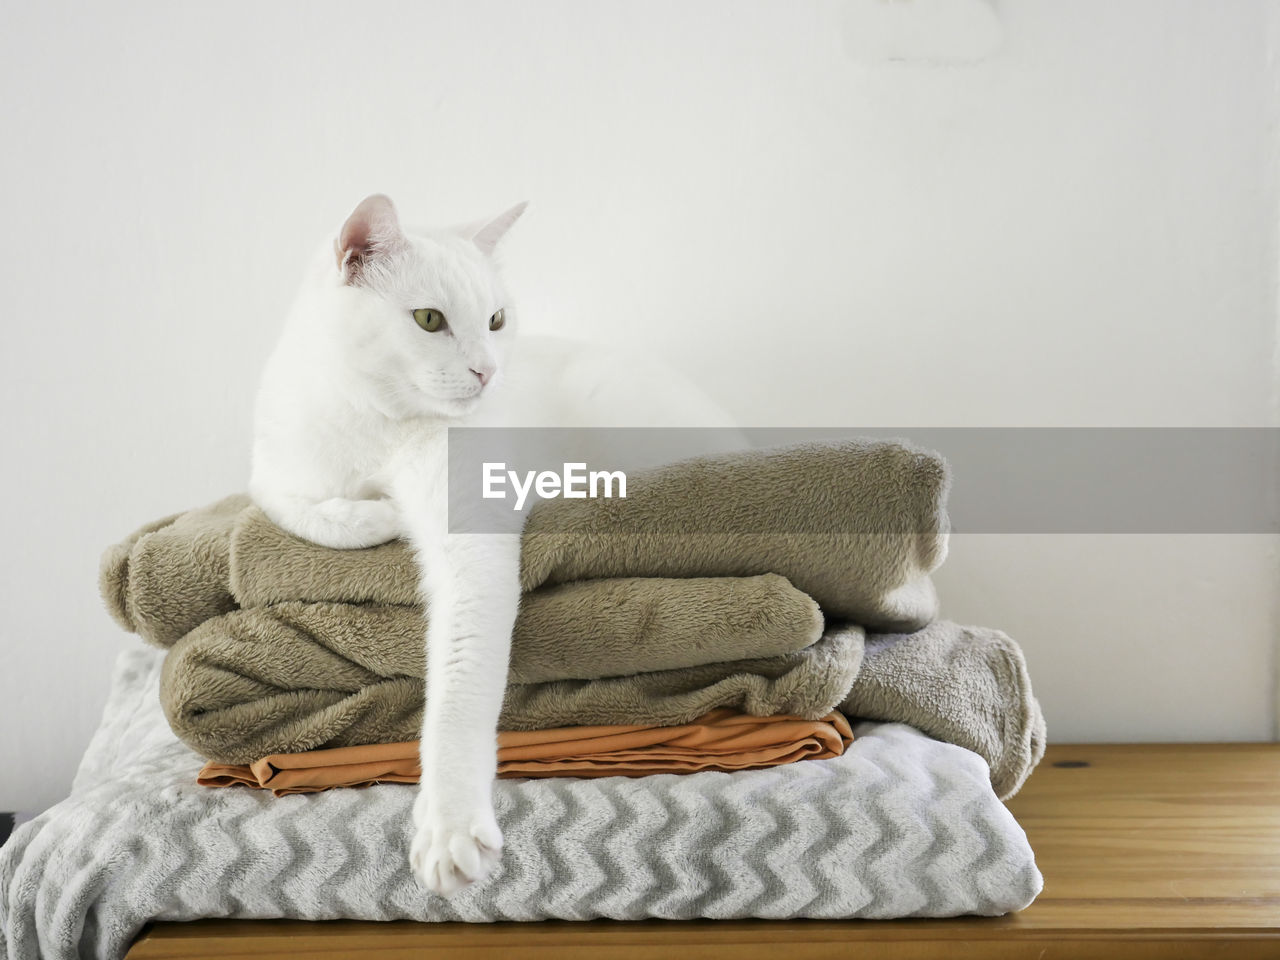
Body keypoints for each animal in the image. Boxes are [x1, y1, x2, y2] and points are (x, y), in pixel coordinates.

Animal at [252, 199, 742, 901]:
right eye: (430, 320)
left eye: (496, 320)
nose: (487, 370)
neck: (381, 426)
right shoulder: (271, 470)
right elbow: (294, 506)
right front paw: (374, 514)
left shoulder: (470, 537)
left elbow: (458, 691)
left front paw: (449, 825)